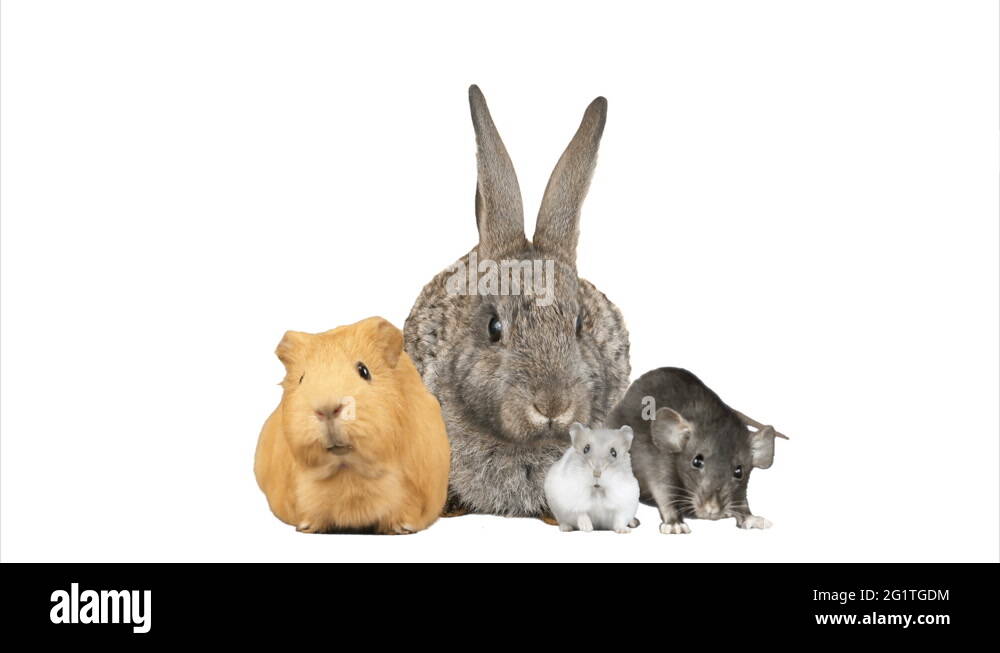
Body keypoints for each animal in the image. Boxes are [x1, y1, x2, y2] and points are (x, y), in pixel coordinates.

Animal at [254, 317, 451, 534]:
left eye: (364, 371)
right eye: (301, 379)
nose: (327, 409)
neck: (347, 469)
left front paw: (402, 528)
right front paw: (307, 527)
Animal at [605, 367, 783, 534]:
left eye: (739, 471)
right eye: (697, 461)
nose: (712, 510)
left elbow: (742, 499)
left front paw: (750, 517)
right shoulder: (659, 463)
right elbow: (664, 493)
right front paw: (674, 523)